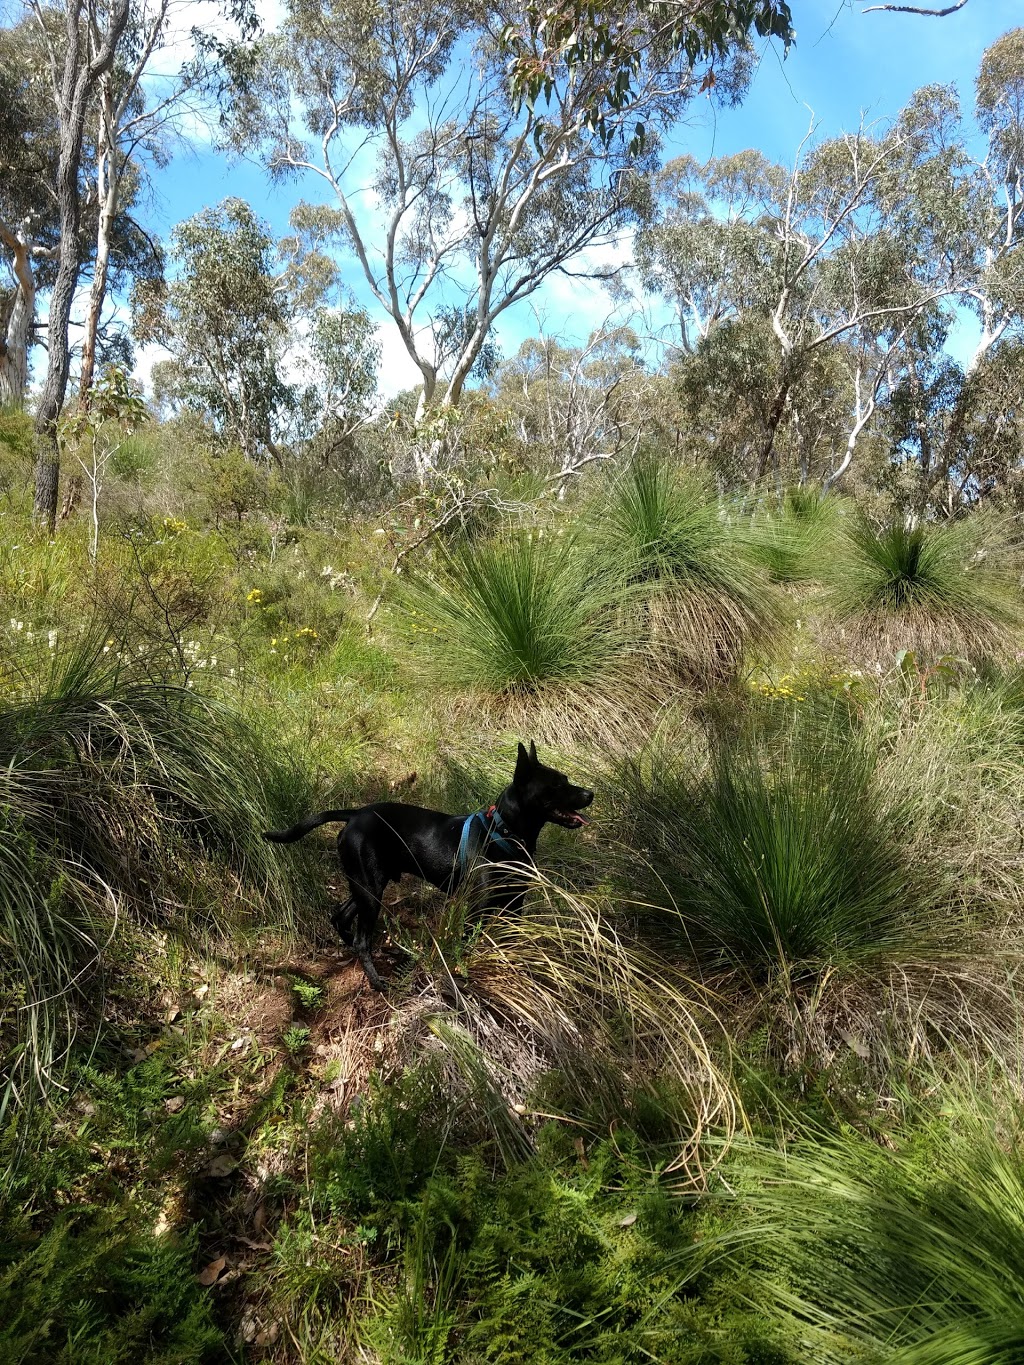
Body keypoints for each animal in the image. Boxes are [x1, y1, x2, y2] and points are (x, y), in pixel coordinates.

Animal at [264, 742, 592, 988]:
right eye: (557, 785)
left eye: (565, 780)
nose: (591, 793)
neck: (502, 833)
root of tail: (355, 814)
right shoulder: (476, 909)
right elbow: (466, 946)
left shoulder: (515, 905)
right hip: (370, 888)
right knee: (360, 937)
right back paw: (376, 980)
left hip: (368, 884)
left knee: (341, 917)